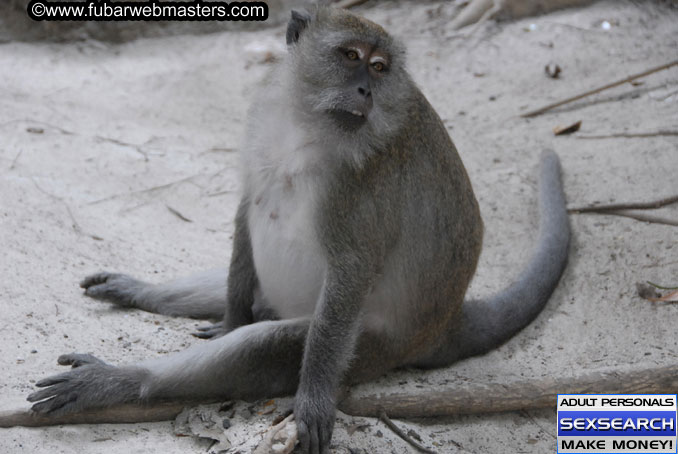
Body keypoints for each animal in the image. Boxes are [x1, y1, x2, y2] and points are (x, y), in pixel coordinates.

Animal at [25, 4, 568, 454]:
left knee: (265, 345)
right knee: (240, 293)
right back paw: (148, 294)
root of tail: (444, 323)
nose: (365, 91)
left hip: (371, 346)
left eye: (378, 68)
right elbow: (246, 208)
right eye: (350, 56)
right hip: (277, 295)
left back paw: (124, 381)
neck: (306, 123)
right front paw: (227, 315)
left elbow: (351, 269)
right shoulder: (263, 119)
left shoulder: (358, 185)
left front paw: (312, 400)